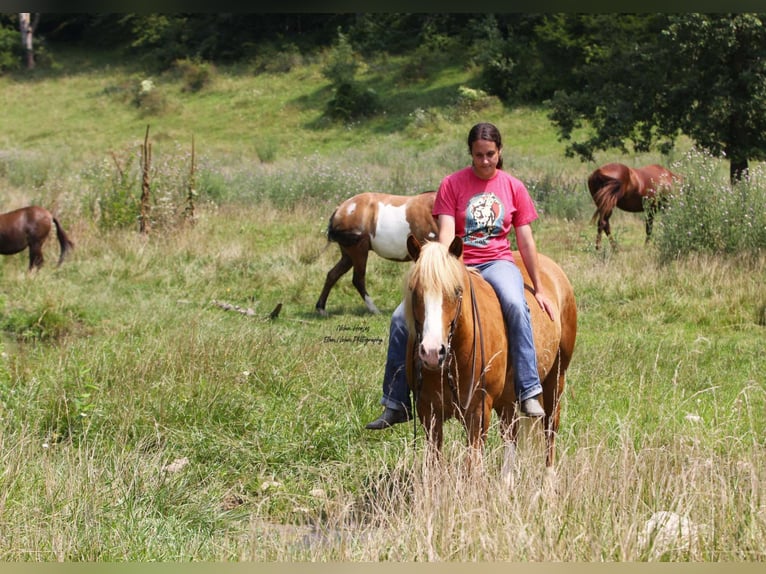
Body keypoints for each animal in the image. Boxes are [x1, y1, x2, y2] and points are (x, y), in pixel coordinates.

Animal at [404, 236, 580, 484]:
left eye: (456, 291)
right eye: (414, 291)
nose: (431, 351)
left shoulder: (478, 412)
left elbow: (472, 467)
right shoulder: (428, 412)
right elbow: (433, 464)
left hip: (555, 380)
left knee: (550, 428)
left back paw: (547, 481)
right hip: (508, 398)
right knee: (511, 433)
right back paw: (507, 483)